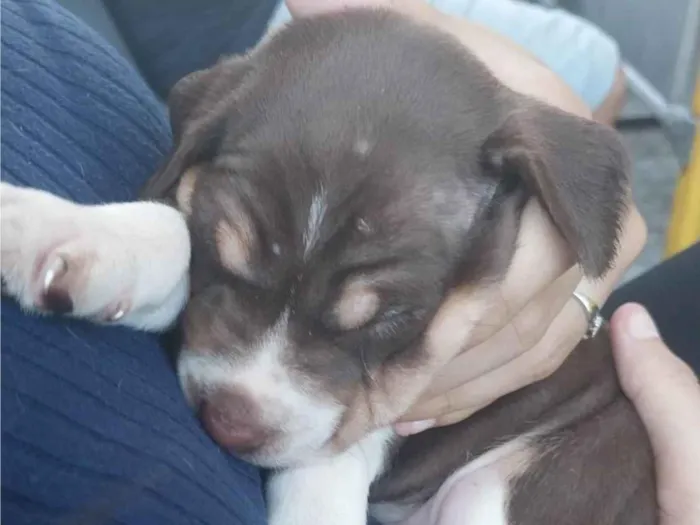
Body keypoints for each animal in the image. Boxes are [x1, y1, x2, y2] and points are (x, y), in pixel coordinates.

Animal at [0, 8, 656, 524]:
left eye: (388, 320)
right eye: (223, 257)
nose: (230, 425)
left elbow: (333, 457)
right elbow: (170, 234)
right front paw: (56, 233)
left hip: (503, 491)